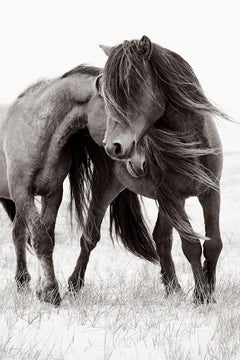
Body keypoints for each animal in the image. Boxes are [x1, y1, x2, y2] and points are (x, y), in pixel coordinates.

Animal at [69, 37, 231, 304]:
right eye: (106, 93)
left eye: (131, 86)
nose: (113, 146)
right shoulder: (172, 198)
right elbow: (191, 245)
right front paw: (201, 296)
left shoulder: (210, 192)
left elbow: (213, 244)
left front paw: (208, 291)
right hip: (107, 186)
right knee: (89, 236)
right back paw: (73, 285)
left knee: (161, 239)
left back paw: (173, 288)